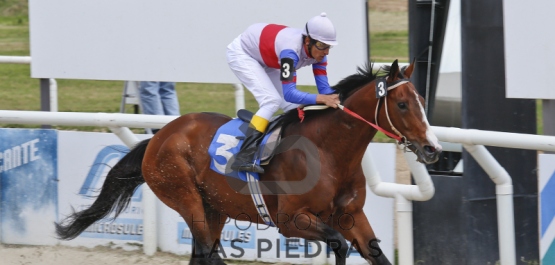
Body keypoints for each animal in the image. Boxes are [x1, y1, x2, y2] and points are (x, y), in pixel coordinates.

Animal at [56, 59, 444, 264]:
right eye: (403, 104)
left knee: (203, 253)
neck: (329, 153)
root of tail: (160, 135)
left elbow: (375, 253)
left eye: (423, 101)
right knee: (208, 252)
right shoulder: (291, 220)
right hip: (183, 196)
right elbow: (338, 243)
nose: (432, 149)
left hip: (214, 208)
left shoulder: (351, 215)